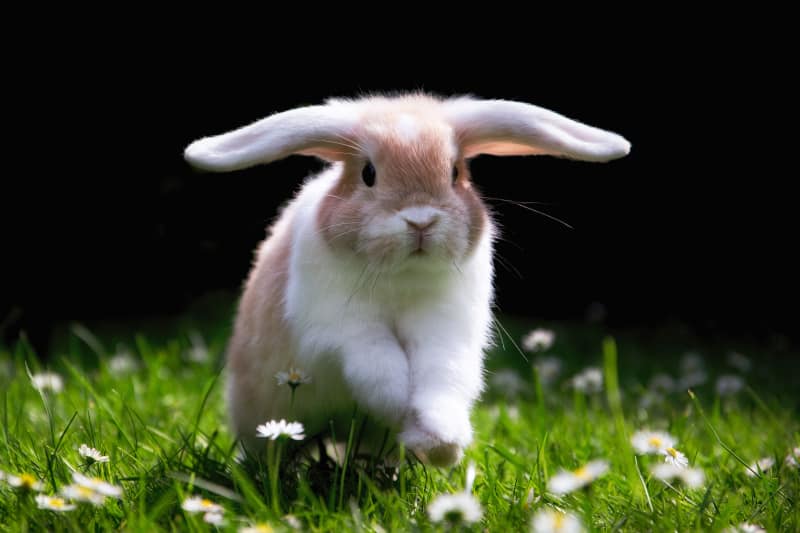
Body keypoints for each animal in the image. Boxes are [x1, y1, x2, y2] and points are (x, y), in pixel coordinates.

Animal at [184, 94, 630, 466]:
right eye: (368, 173)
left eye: (455, 172)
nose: (420, 220)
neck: (401, 276)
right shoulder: (340, 330)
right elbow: (380, 366)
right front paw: (401, 409)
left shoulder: (445, 330)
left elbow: (439, 378)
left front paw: (440, 444)